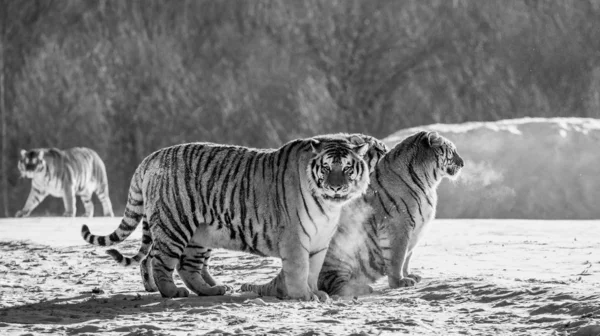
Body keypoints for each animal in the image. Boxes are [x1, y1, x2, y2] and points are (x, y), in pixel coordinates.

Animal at [79, 133, 384, 300]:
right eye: (328, 167)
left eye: (347, 168)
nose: (336, 187)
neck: (329, 207)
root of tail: (151, 157)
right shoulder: (295, 238)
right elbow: (299, 269)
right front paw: (303, 296)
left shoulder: (319, 242)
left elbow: (314, 269)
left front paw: (316, 292)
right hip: (174, 224)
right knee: (159, 260)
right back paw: (170, 291)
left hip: (199, 234)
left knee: (187, 267)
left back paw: (210, 290)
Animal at [239, 131, 464, 296]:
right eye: (451, 151)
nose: (462, 163)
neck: (428, 182)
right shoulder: (399, 227)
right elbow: (398, 257)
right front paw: (400, 282)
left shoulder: (415, 229)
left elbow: (407, 257)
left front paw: (411, 276)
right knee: (331, 284)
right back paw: (362, 288)